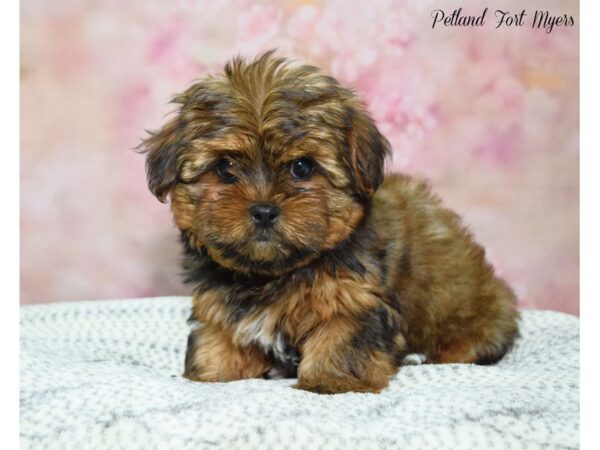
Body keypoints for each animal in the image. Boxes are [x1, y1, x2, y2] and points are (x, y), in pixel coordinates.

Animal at [138, 51, 516, 392]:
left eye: (302, 167)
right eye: (225, 167)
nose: (263, 210)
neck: (274, 274)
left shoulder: (353, 300)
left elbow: (340, 338)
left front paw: (330, 382)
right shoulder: (221, 308)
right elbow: (217, 341)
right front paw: (209, 373)